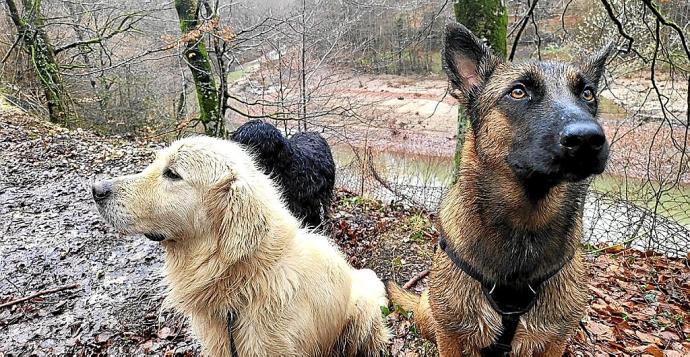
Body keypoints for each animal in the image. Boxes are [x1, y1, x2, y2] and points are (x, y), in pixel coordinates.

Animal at [390, 23, 612, 356]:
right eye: (518, 91)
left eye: (587, 93)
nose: (587, 139)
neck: (525, 223)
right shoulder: (451, 335)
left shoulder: (554, 340)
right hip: (431, 314)